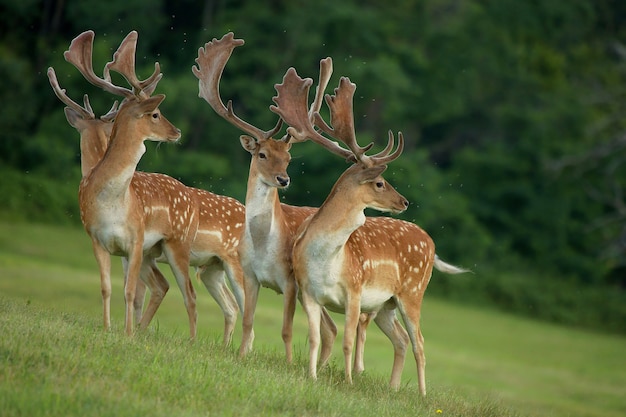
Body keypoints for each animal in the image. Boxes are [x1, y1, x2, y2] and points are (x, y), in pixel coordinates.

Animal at [51, 30, 246, 340]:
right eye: (155, 113)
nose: (177, 131)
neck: (112, 200)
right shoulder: (97, 238)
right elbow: (107, 288)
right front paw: (108, 328)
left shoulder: (136, 240)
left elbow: (131, 291)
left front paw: (129, 332)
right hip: (203, 264)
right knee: (215, 301)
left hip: (183, 246)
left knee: (192, 295)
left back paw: (193, 341)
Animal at [190, 33, 376, 368]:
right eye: (262, 154)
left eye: (288, 158)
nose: (284, 179)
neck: (265, 246)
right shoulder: (250, 275)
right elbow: (248, 321)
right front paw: (242, 356)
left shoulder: (289, 282)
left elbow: (287, 330)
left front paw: (289, 364)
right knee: (330, 329)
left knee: (331, 328)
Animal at [272, 66, 468, 392]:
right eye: (379, 182)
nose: (404, 201)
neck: (325, 260)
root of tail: (430, 242)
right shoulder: (309, 294)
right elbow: (314, 338)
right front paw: (312, 376)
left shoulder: (355, 290)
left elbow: (348, 342)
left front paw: (349, 381)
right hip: (387, 305)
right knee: (402, 340)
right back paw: (393, 388)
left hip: (413, 292)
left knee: (420, 342)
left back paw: (422, 394)